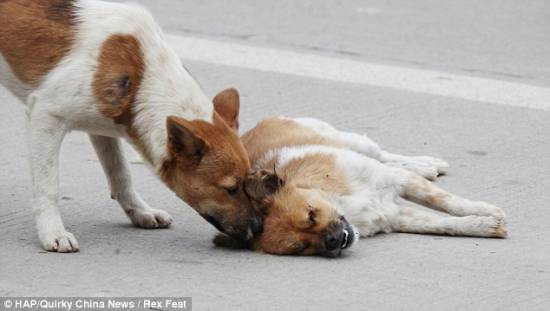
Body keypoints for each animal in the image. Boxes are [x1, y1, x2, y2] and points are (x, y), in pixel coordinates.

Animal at [0, 0, 264, 254]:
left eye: (248, 183)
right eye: (230, 189)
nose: (258, 228)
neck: (141, 77)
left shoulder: (102, 127)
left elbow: (121, 174)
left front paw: (140, 211)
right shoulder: (46, 117)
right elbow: (48, 187)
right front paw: (53, 232)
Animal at [212, 91, 508, 258]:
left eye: (311, 214)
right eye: (301, 248)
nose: (332, 241)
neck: (343, 201)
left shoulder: (399, 182)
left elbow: (448, 202)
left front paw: (485, 210)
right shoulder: (397, 216)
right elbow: (443, 224)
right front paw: (482, 226)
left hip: (350, 141)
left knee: (384, 154)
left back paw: (426, 164)